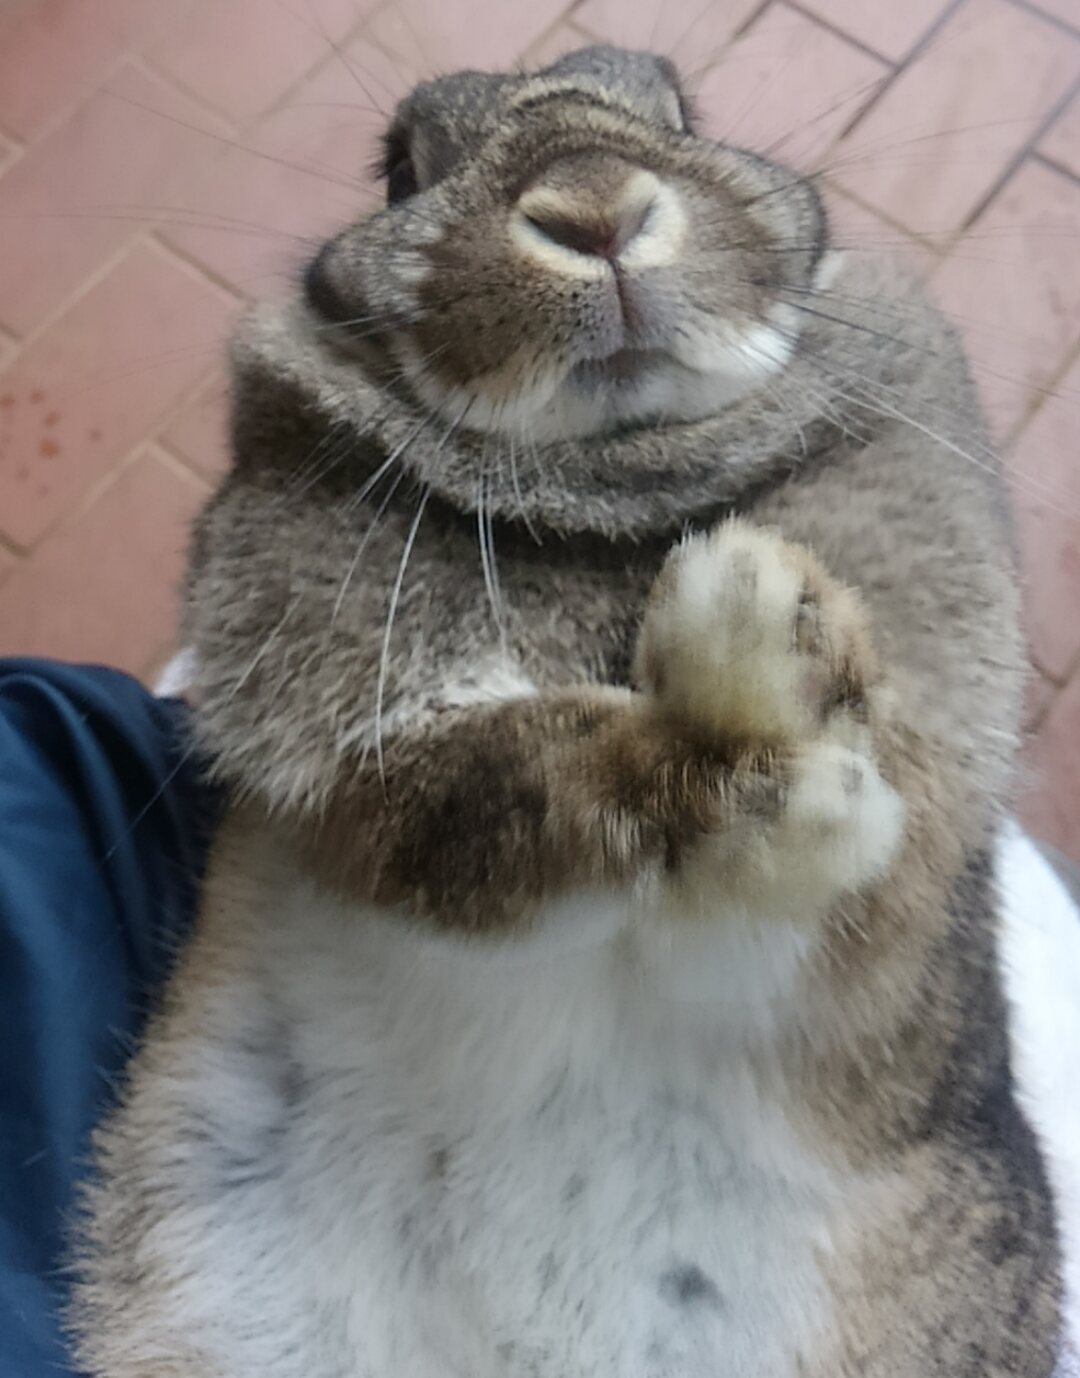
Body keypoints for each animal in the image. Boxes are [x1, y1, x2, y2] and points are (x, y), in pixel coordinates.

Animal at [68, 45, 1065, 1378]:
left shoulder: (904, 898)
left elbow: (840, 897)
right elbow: (510, 786)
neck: (615, 480)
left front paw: (769, 622)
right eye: (401, 166)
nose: (595, 211)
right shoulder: (357, 775)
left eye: (682, 109)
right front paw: (757, 675)